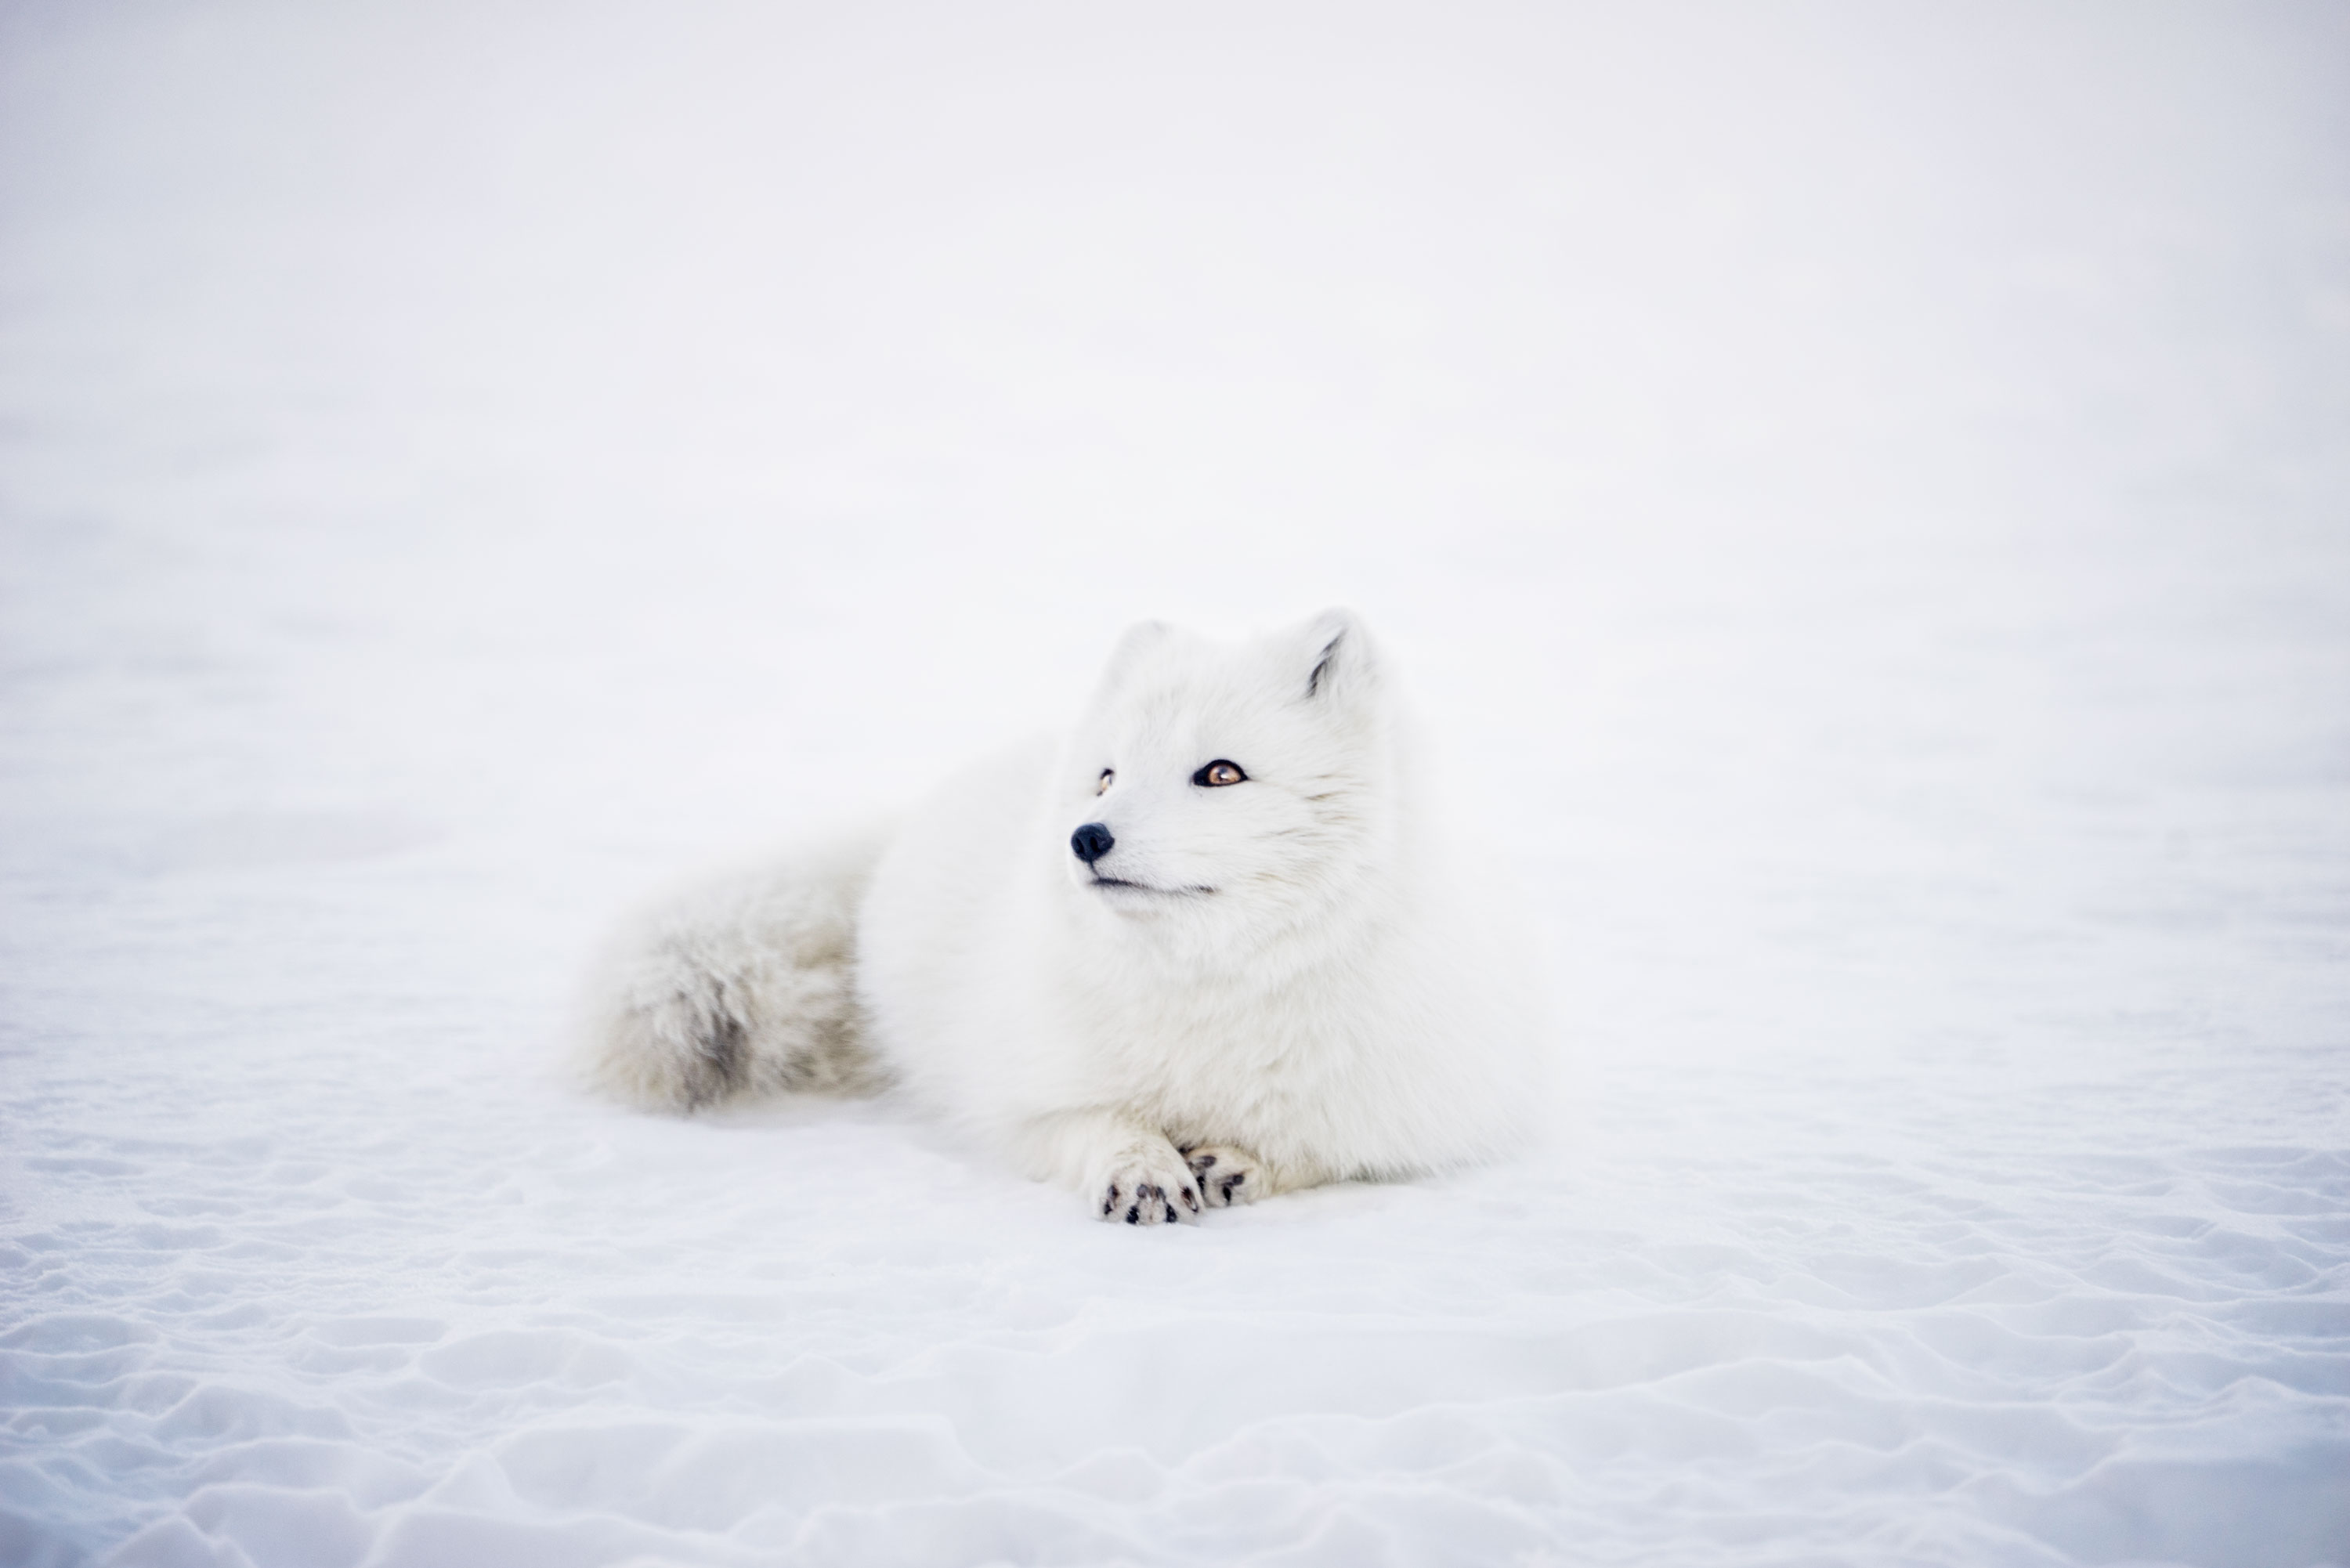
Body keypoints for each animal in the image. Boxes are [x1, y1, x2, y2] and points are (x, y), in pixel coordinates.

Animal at [584, 608, 1551, 1224]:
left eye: (1221, 774)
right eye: (1107, 777)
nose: (1086, 838)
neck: (1212, 989)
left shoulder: (1426, 1108)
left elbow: (1329, 1146)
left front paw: (1242, 1161)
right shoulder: (1018, 1095)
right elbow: (1091, 1122)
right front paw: (1142, 1168)